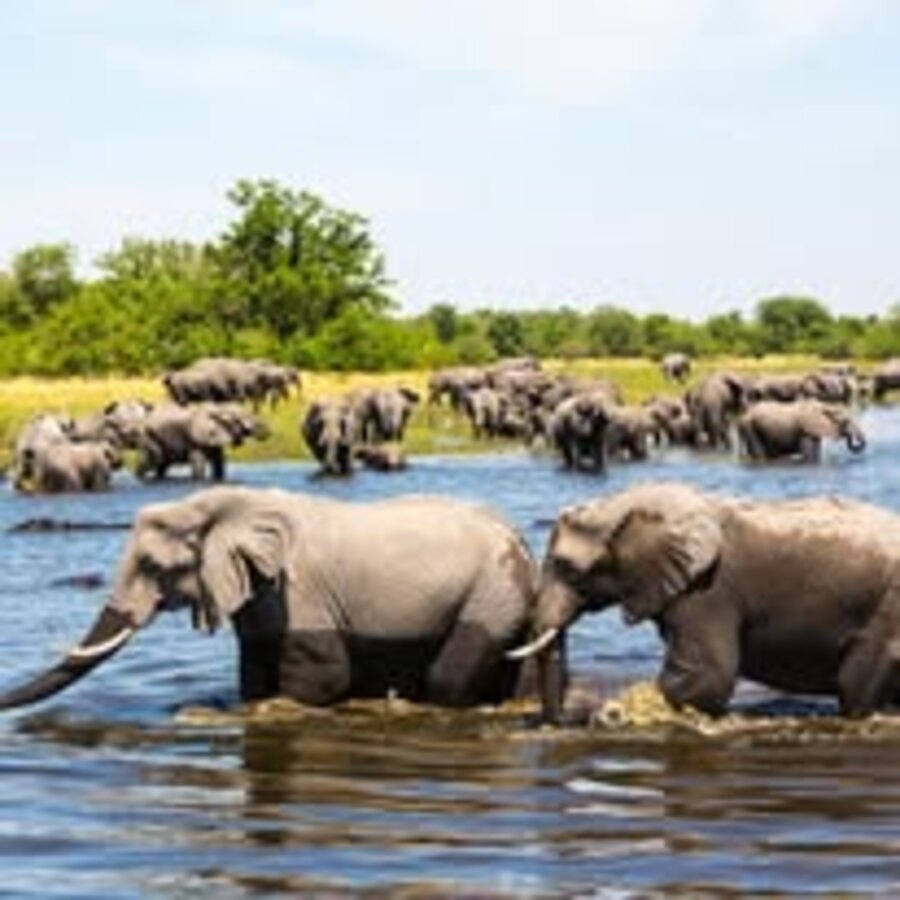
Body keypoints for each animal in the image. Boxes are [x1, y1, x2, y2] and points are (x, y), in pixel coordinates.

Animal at [0, 486, 538, 711]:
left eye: (153, 566)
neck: (222, 504)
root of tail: (520, 542)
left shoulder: (297, 586)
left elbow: (323, 673)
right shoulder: (255, 587)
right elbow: (254, 668)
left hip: (492, 590)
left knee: (450, 676)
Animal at [737, 400, 866, 462]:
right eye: (845, 421)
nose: (852, 438)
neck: (825, 406)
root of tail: (744, 414)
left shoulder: (813, 431)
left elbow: (816, 453)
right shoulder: (806, 430)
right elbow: (809, 455)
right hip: (750, 428)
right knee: (759, 454)